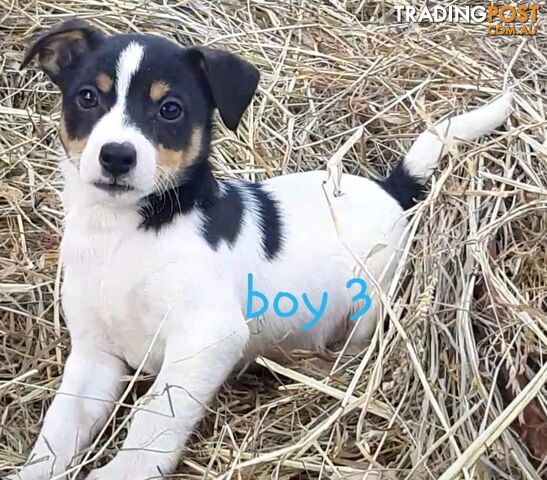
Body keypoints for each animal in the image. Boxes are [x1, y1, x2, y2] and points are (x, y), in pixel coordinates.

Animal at [10, 17, 512, 480]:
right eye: (86, 98)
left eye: (170, 110)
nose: (116, 155)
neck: (127, 230)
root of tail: (388, 188)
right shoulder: (95, 354)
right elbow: (60, 429)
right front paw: (36, 469)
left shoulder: (206, 338)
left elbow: (156, 413)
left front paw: (126, 470)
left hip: (368, 305)